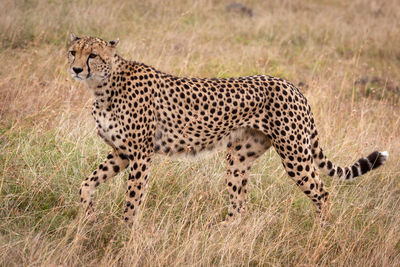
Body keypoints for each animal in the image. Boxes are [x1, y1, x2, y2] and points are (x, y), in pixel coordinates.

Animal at [67, 34, 390, 225]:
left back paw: (321, 232)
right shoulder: (121, 153)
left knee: (322, 193)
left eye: (92, 55)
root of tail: (292, 85)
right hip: (239, 158)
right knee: (240, 204)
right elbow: (86, 184)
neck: (102, 86)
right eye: (72, 52)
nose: (76, 69)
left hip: (294, 155)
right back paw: (224, 231)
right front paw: (89, 219)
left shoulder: (141, 154)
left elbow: (132, 199)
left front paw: (124, 233)